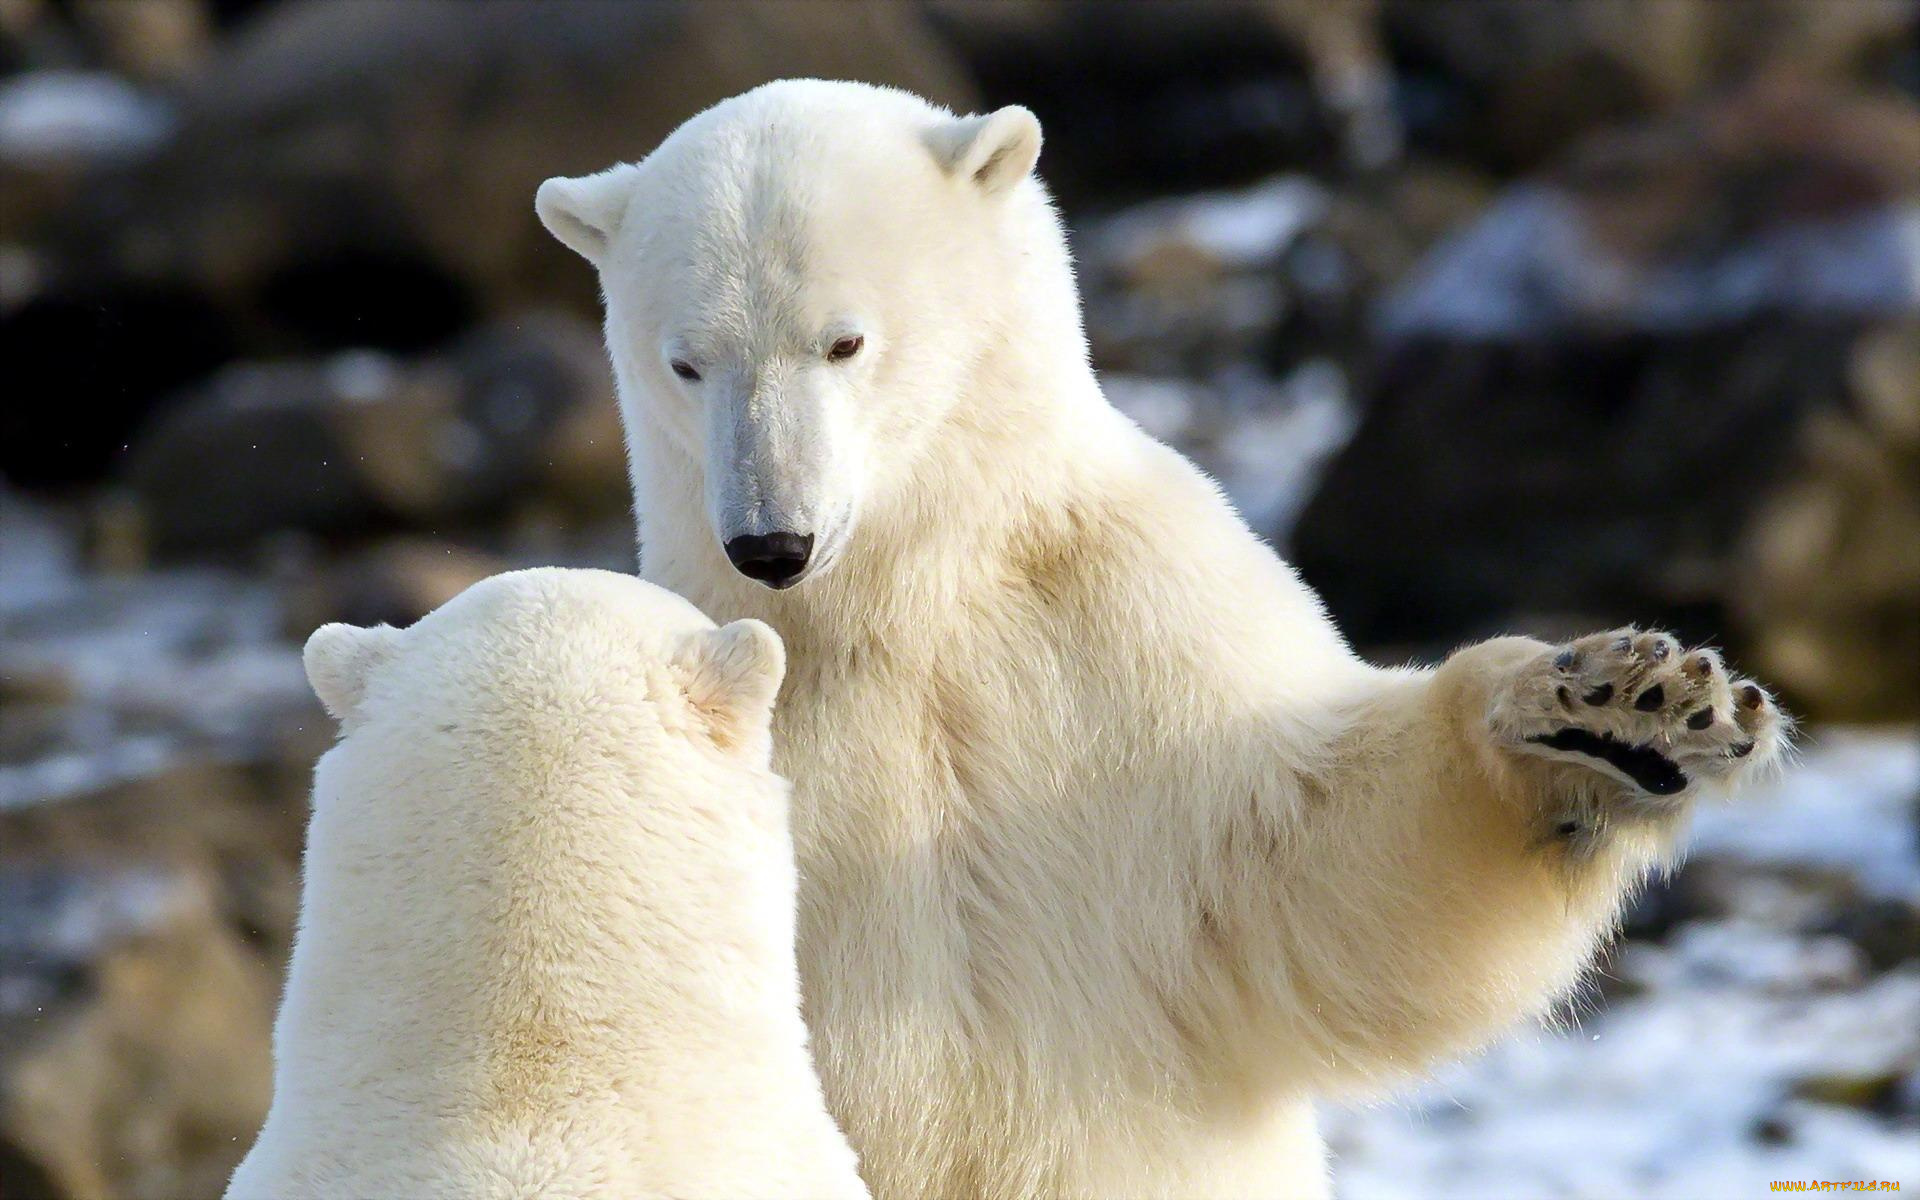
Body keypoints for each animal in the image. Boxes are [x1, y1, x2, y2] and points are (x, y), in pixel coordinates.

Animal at [537, 82, 1781, 1198]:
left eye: (844, 342)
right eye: (685, 361)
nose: (771, 541)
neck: (896, 597)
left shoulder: (1131, 623)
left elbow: (1319, 870)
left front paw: (1619, 717)